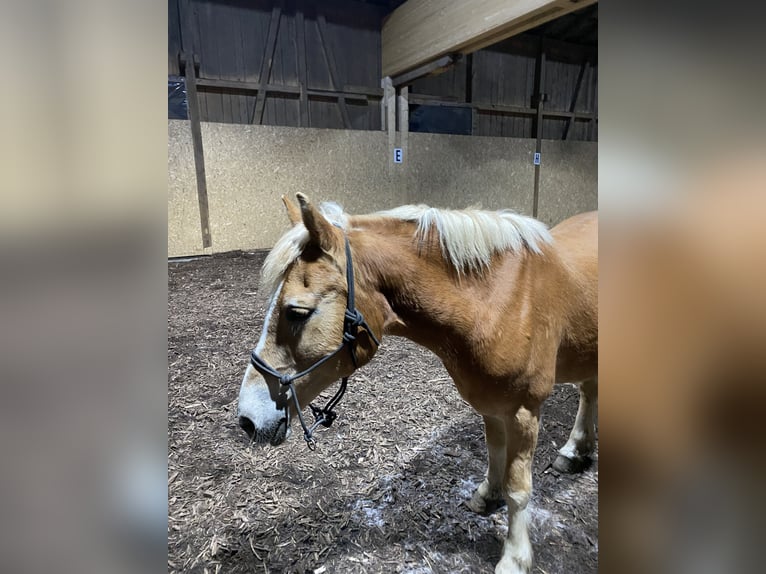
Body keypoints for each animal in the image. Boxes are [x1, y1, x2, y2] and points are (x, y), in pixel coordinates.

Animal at [240, 195, 600, 574]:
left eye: (296, 312)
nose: (247, 419)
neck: (499, 300)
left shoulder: (523, 411)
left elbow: (518, 488)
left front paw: (515, 557)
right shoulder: (492, 405)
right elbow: (494, 455)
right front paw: (488, 496)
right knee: (589, 391)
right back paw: (575, 450)